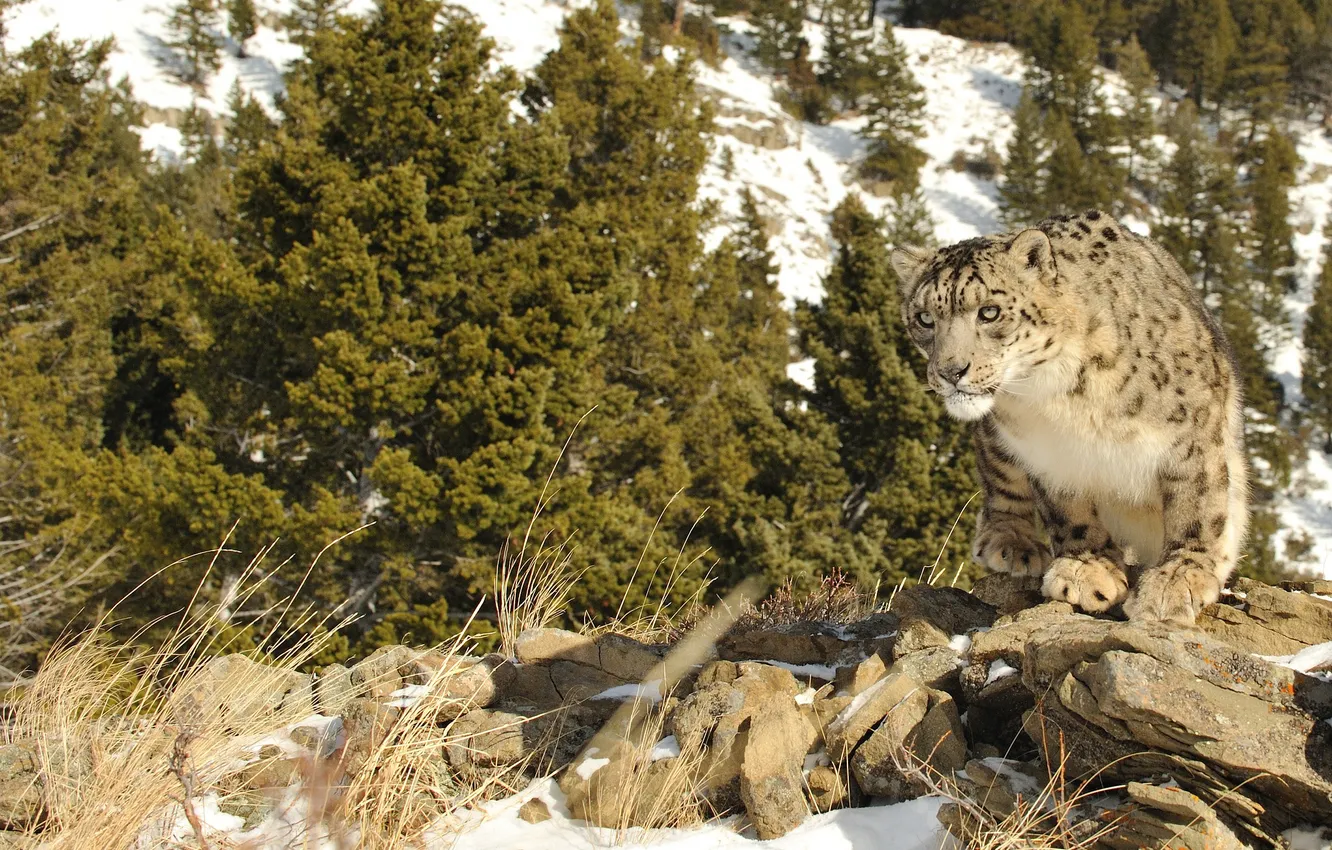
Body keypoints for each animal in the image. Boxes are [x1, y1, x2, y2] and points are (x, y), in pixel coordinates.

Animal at [891, 210, 1248, 626]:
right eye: (924, 318)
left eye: (990, 312)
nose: (950, 371)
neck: (1065, 397)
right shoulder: (1053, 454)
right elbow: (1068, 512)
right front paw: (1087, 569)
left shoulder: (1192, 434)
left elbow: (1196, 507)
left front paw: (1177, 580)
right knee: (1000, 480)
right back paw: (1011, 541)